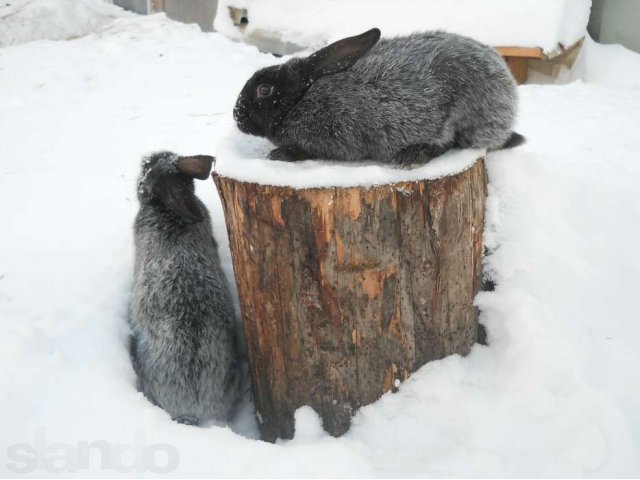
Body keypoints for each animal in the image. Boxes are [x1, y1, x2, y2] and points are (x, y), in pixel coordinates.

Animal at [235, 28, 524, 164]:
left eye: (264, 89)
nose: (238, 117)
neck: (301, 99)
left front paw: (281, 154)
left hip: (463, 111)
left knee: (449, 141)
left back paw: (412, 156)